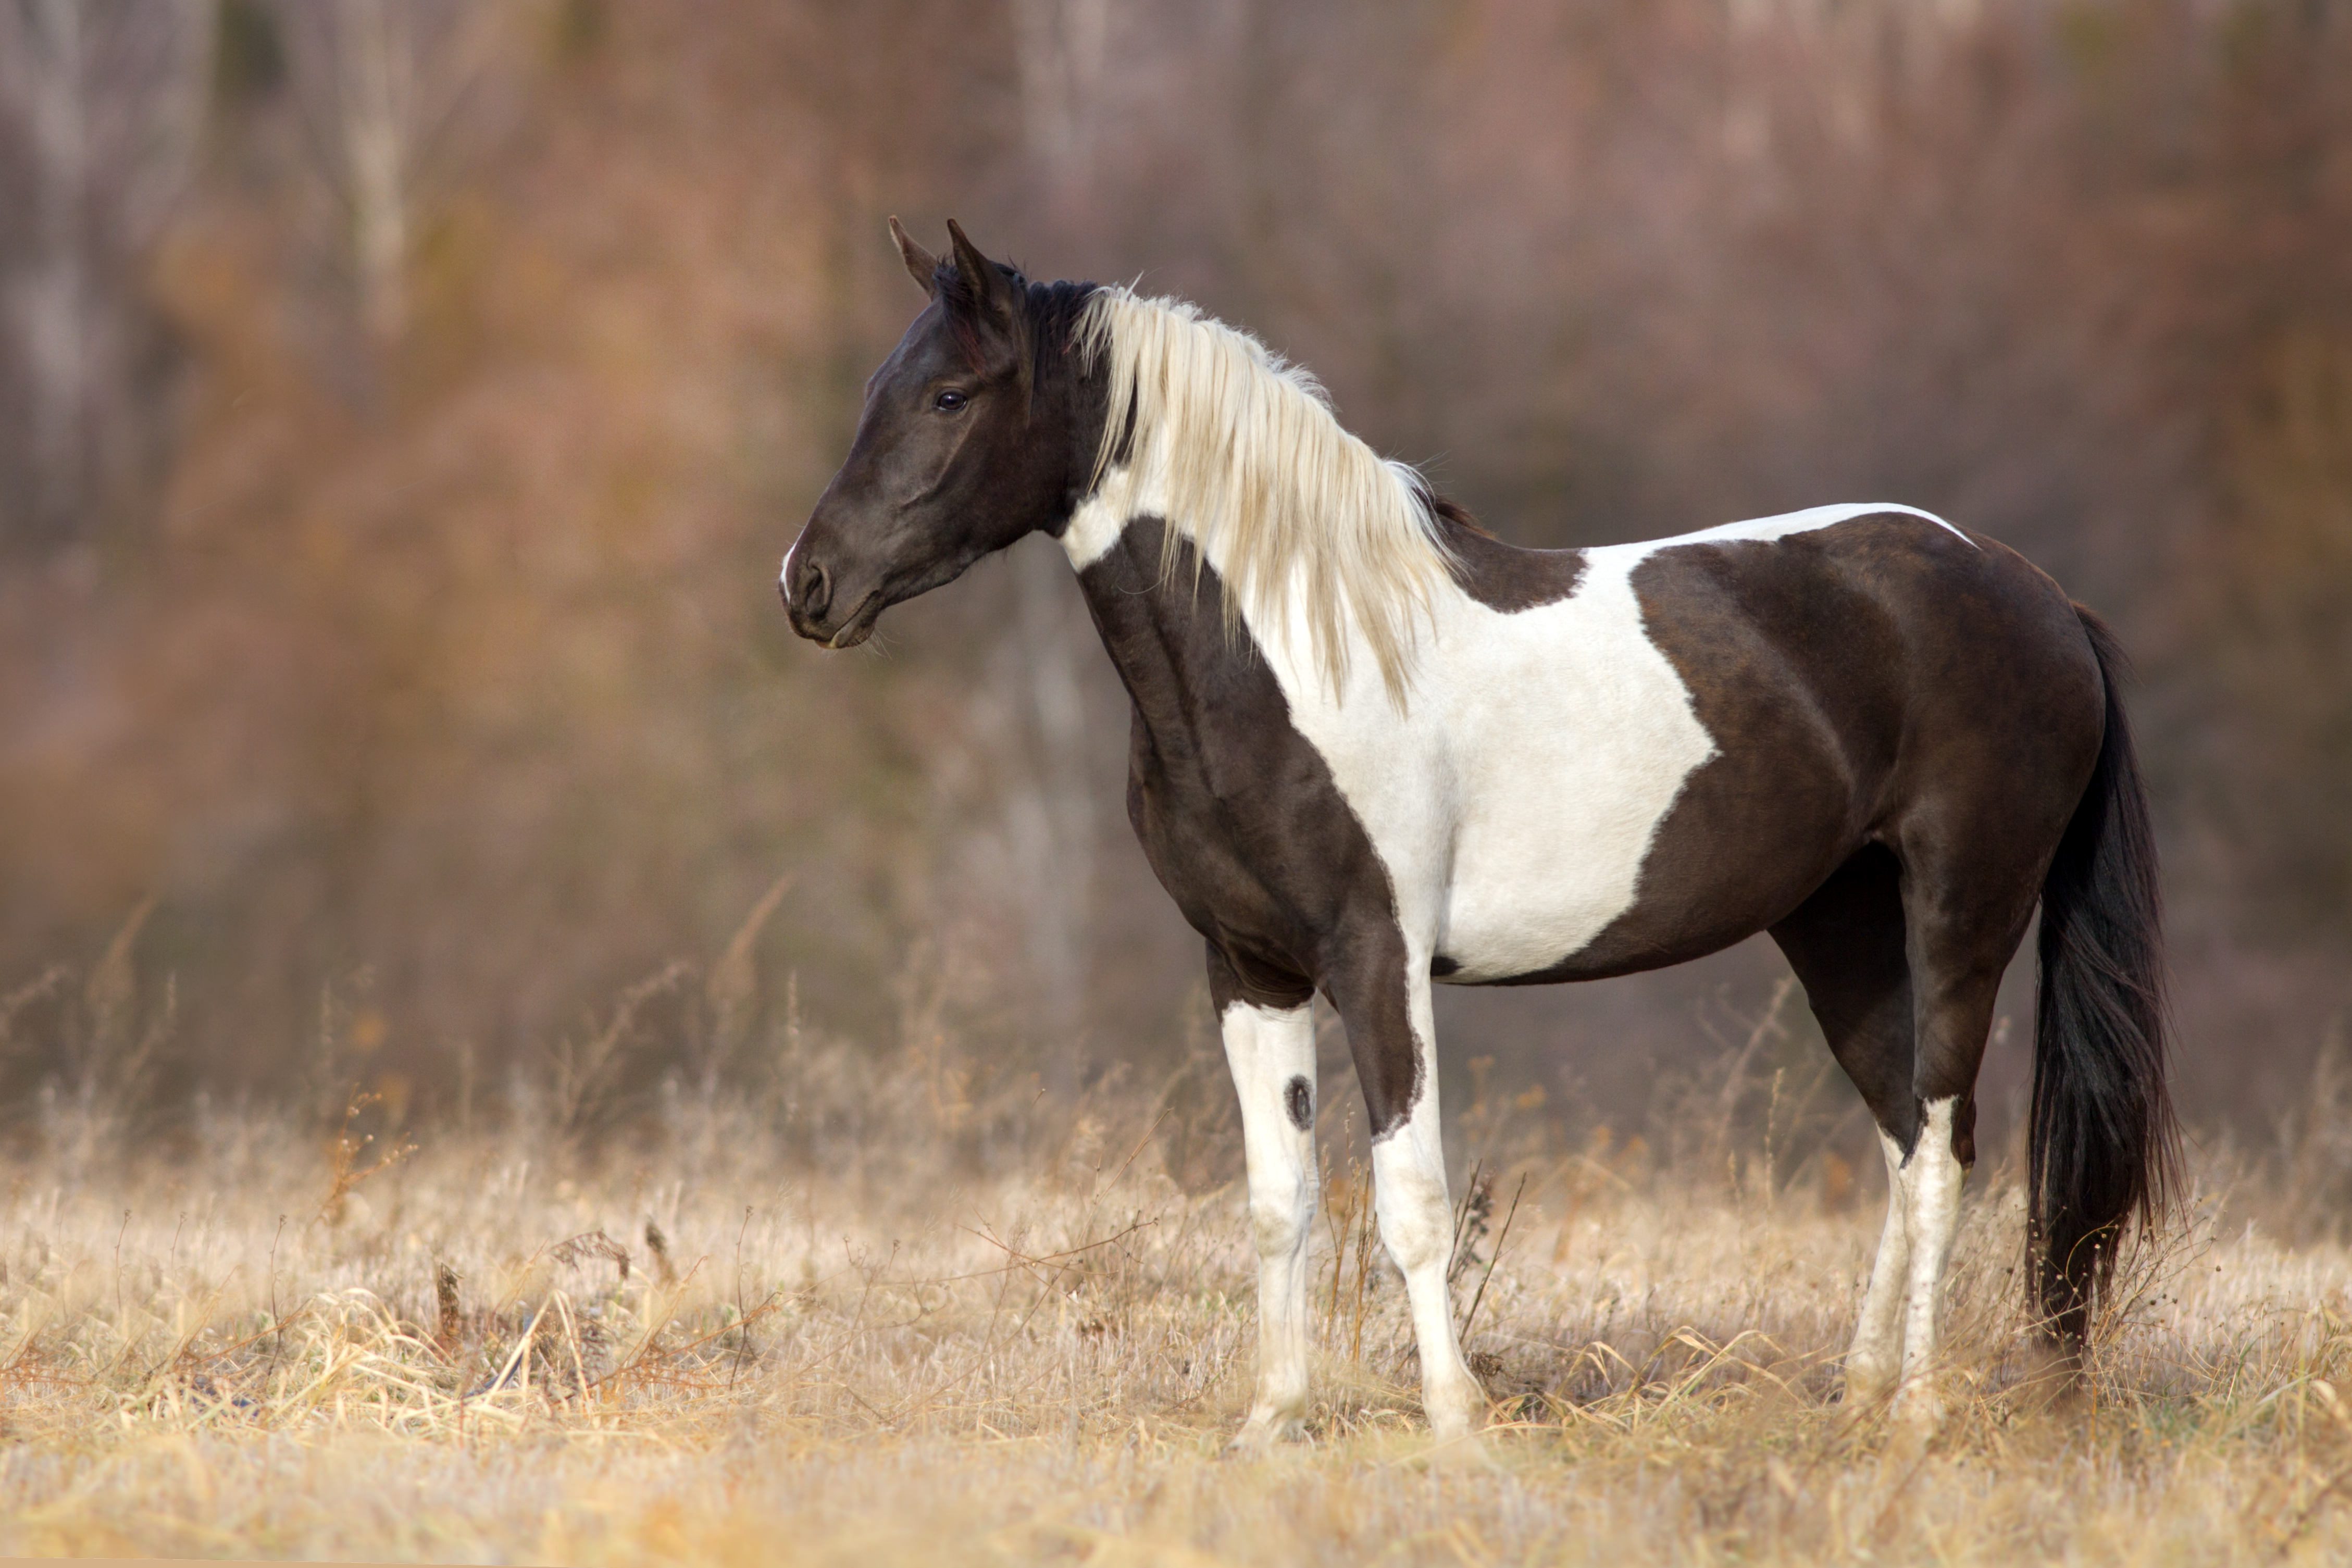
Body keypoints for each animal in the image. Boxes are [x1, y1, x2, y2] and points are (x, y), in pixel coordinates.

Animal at [780, 217, 2173, 1448]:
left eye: (952, 396)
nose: (808, 585)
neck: (1295, 648)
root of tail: (2038, 595)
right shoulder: (1248, 966)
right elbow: (1279, 1199)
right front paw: (1274, 1420)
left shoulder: (1376, 956)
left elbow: (1408, 1200)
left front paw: (1455, 1424)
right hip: (1835, 925)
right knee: (1902, 1138)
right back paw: (1862, 1396)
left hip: (1962, 912)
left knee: (1942, 1148)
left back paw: (1921, 1414)